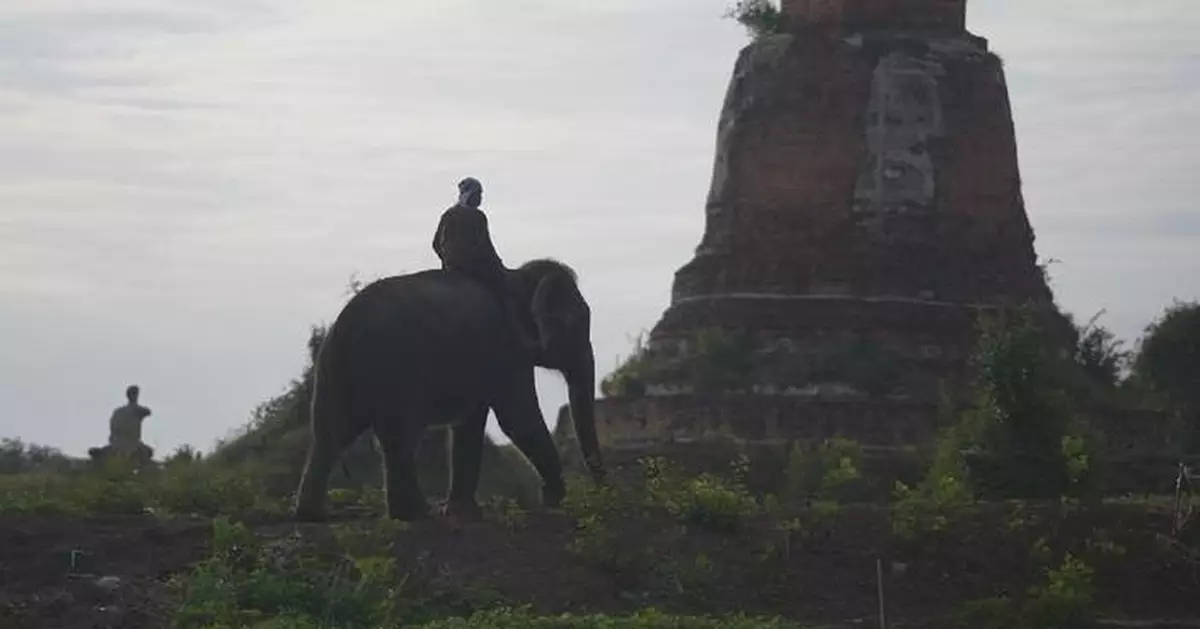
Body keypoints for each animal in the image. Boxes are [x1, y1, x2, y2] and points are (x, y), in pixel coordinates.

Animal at [292, 258, 606, 522]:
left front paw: (462, 512)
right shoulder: (506, 346)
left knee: (331, 432)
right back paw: (416, 513)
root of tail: (346, 325)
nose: (597, 491)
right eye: (573, 323)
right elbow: (518, 418)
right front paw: (555, 500)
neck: (514, 275)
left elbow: (470, 424)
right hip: (392, 367)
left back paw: (312, 515)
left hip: (332, 370)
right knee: (398, 436)